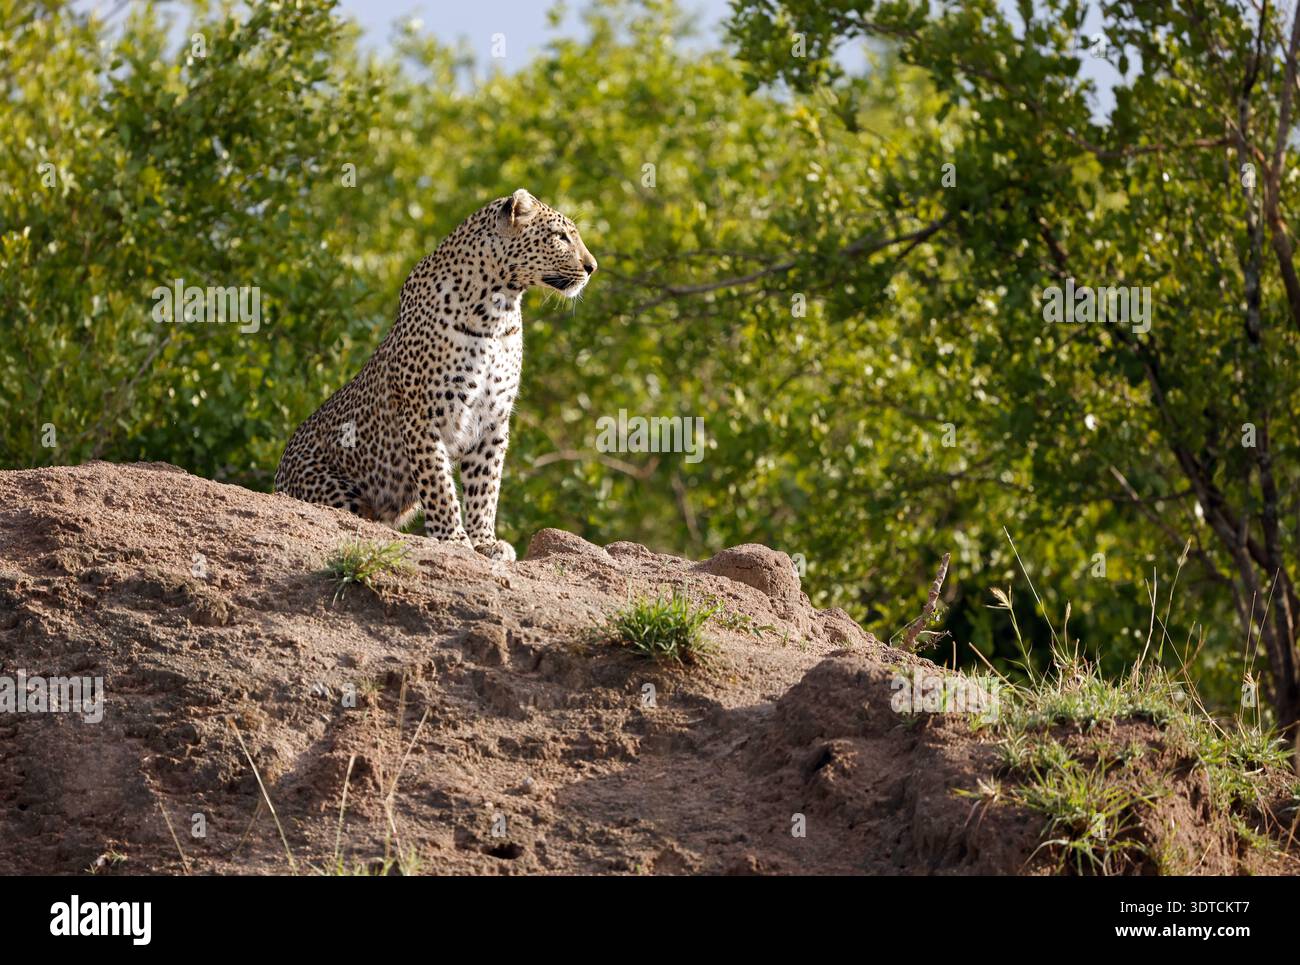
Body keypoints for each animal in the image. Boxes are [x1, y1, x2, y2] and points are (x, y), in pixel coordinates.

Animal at [274, 188, 597, 562]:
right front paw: (454, 539)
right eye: (560, 237)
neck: (498, 309)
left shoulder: (493, 420)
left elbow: (485, 487)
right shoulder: (422, 415)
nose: (592, 267)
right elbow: (439, 483)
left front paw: (485, 541)